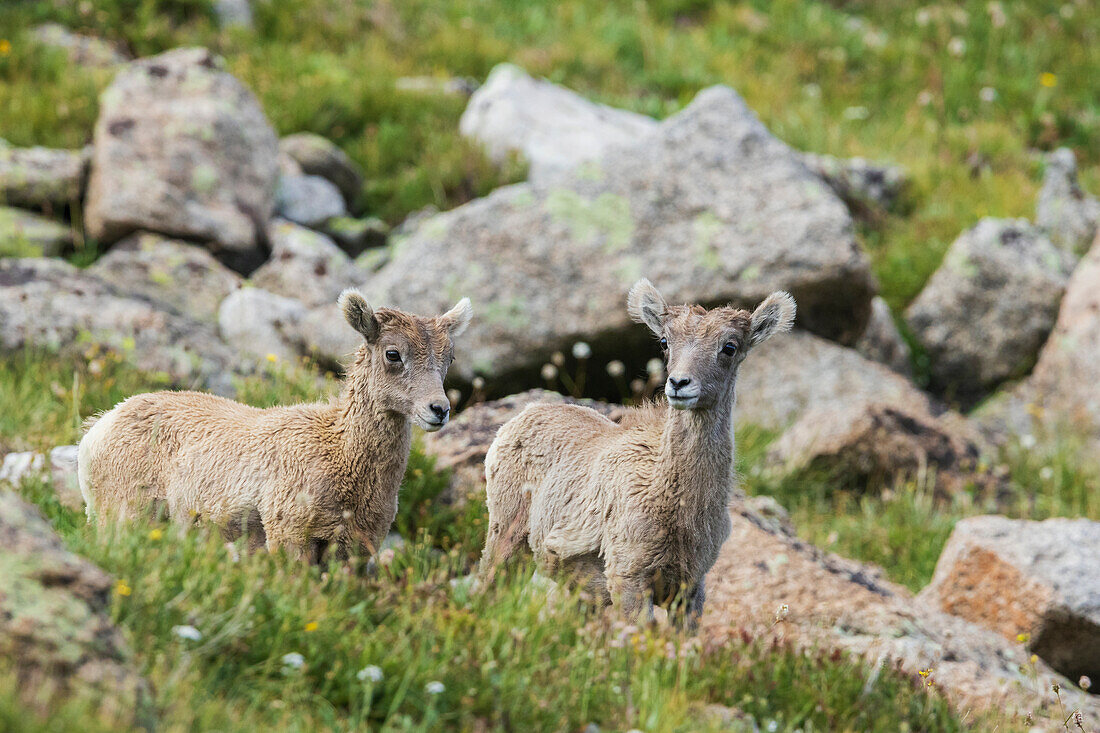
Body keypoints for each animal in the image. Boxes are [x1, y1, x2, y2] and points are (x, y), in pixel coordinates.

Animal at [76, 286, 473, 559]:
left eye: (449, 358)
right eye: (393, 354)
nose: (439, 410)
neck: (340, 453)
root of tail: (98, 428)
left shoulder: (355, 550)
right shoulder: (290, 537)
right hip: (121, 515)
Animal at [477, 279, 796, 620]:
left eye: (730, 347)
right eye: (665, 342)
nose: (679, 383)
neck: (679, 511)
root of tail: (521, 417)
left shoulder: (690, 590)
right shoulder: (629, 579)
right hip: (505, 537)